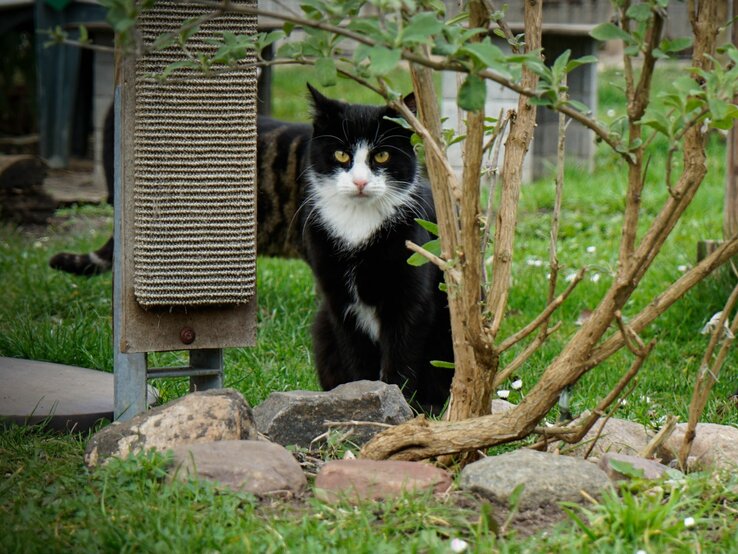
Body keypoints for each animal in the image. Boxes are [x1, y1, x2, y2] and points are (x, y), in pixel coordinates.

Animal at [300, 84, 452, 408]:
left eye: (381, 155)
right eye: (341, 154)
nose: (360, 182)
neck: (359, 222)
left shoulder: (409, 297)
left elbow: (403, 351)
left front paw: (399, 402)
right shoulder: (339, 302)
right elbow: (355, 352)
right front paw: (361, 396)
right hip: (322, 324)